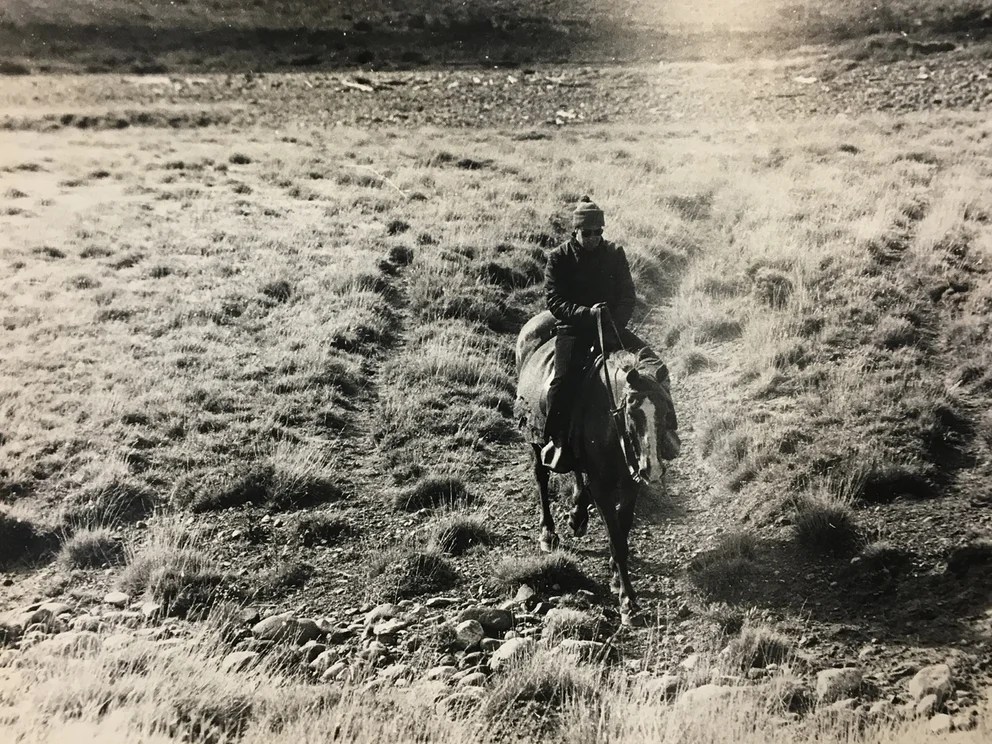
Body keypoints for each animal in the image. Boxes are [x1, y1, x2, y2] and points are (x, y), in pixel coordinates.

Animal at [512, 310, 680, 624]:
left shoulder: (630, 483)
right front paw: (627, 601)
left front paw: (615, 576)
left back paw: (577, 515)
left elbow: (622, 531)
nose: (651, 468)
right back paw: (548, 533)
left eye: (666, 410)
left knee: (578, 473)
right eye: (632, 413)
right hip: (535, 438)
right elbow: (615, 538)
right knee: (541, 477)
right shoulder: (603, 487)